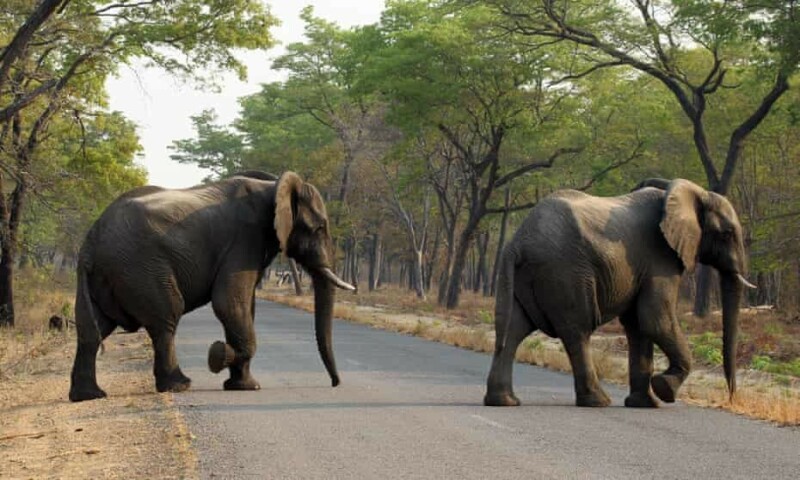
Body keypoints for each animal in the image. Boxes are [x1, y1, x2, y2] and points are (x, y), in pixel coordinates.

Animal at [69, 171, 355, 402]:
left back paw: (89, 396)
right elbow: (229, 304)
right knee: (166, 318)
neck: (273, 186)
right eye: (319, 228)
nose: (335, 383)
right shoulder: (244, 240)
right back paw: (179, 385)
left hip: (107, 277)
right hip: (141, 268)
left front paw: (243, 386)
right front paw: (217, 356)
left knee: (93, 330)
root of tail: (90, 243)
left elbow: (244, 307)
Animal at [484, 178, 754, 408]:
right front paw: (665, 389)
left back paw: (504, 401)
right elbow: (655, 319)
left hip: (528, 277)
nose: (731, 397)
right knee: (577, 331)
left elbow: (639, 325)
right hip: (565, 273)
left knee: (513, 329)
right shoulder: (660, 258)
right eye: (727, 234)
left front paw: (645, 404)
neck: (689, 192)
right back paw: (598, 401)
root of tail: (517, 243)